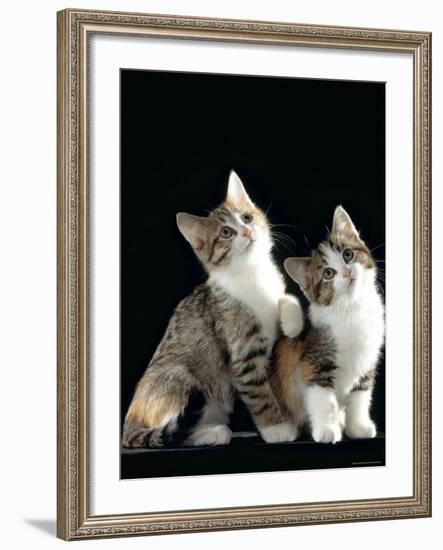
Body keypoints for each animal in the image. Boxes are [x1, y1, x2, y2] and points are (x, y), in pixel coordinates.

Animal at [122, 171, 306, 448]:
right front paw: (276, 428)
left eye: (247, 217)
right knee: (175, 431)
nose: (248, 231)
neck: (253, 273)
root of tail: (129, 422)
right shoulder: (243, 353)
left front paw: (292, 322)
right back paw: (213, 433)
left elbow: (286, 297)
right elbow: (260, 394)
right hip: (180, 376)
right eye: (227, 232)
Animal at [270, 207, 386, 444]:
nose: (347, 272)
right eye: (328, 273)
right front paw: (326, 430)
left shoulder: (367, 361)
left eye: (348, 254)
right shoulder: (314, 363)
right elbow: (324, 399)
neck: (351, 308)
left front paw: (358, 427)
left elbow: (360, 396)